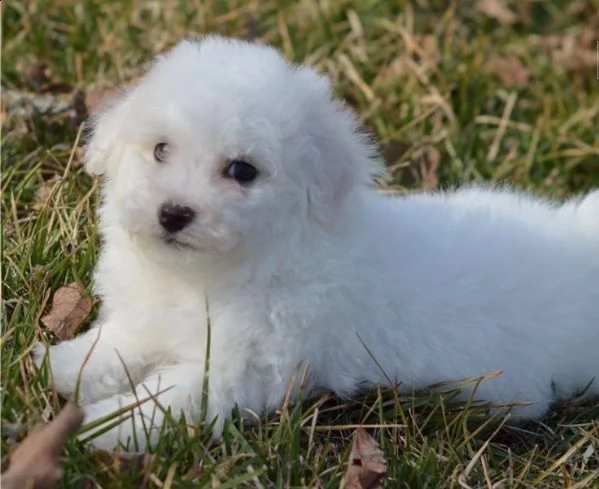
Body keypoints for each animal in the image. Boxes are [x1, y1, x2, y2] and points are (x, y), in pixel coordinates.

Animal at [35, 36, 599, 452]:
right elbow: (116, 346)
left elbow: (163, 401)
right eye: (160, 150)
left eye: (242, 171)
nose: (173, 213)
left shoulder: (236, 369)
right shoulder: (151, 320)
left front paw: (101, 429)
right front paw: (60, 366)